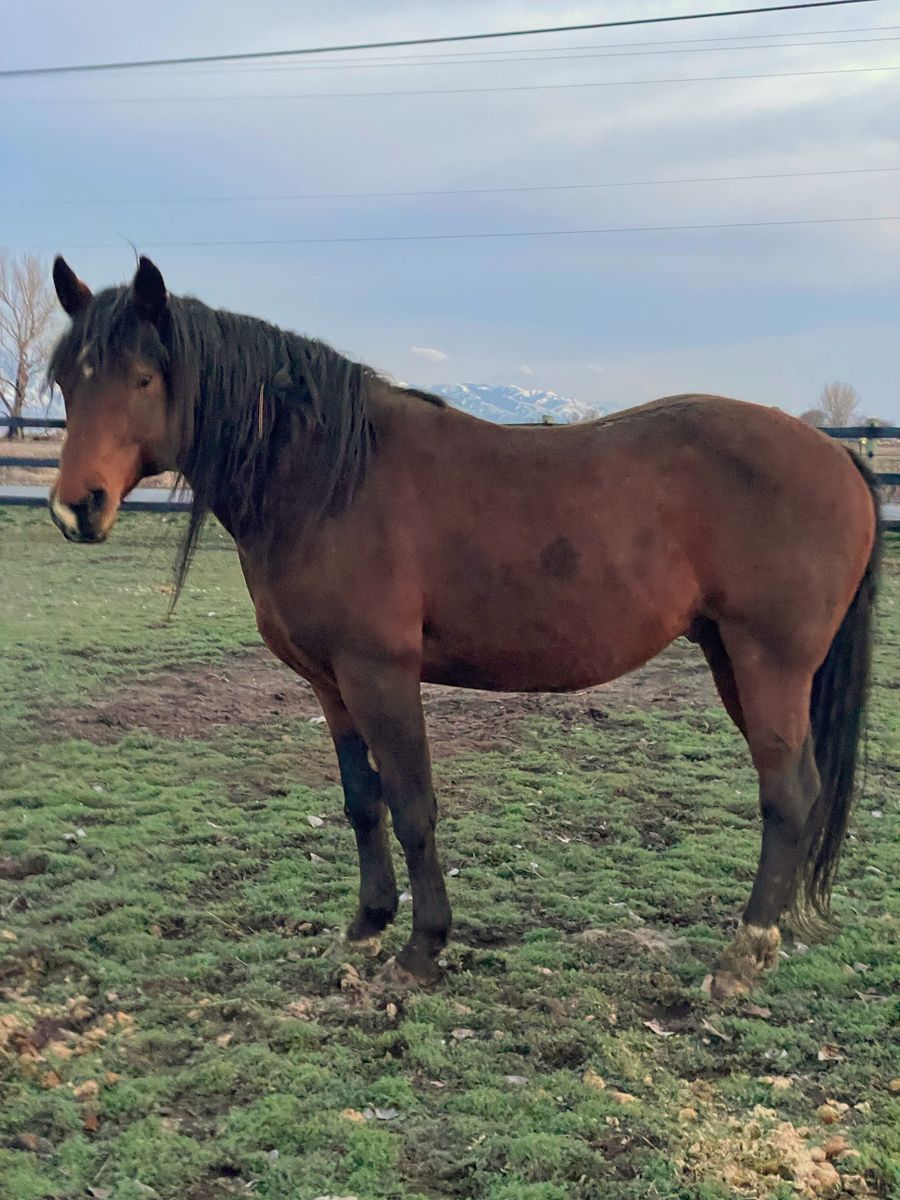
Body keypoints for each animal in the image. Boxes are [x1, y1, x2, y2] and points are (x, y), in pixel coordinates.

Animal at [46, 255, 880, 998]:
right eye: (64, 379)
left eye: (143, 378)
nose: (75, 507)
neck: (330, 481)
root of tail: (837, 455)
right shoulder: (331, 685)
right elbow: (362, 802)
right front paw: (368, 923)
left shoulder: (380, 674)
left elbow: (414, 806)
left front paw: (422, 947)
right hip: (729, 658)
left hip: (769, 663)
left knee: (786, 794)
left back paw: (743, 955)